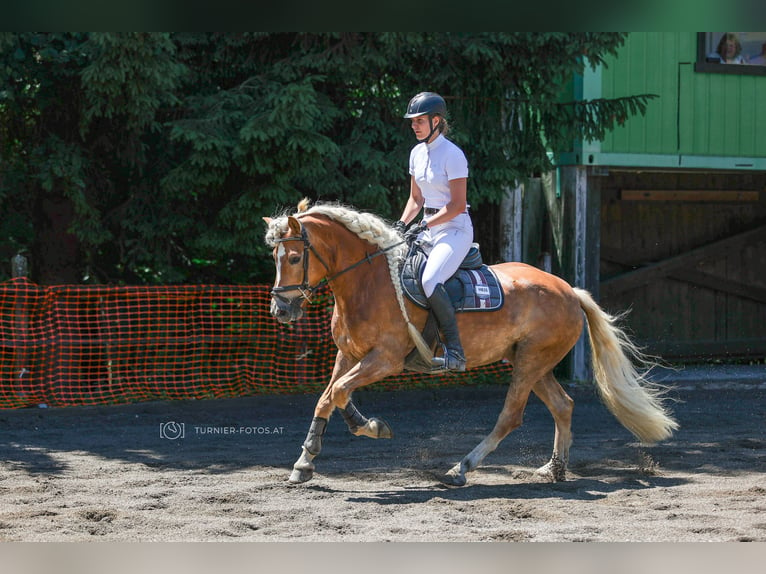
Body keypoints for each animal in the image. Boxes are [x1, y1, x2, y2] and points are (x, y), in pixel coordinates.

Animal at [264, 200, 680, 488]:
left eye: (295, 257)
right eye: (275, 257)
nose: (280, 310)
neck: (368, 281)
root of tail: (568, 290)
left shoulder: (385, 359)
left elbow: (338, 393)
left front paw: (367, 429)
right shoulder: (348, 354)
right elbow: (329, 396)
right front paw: (306, 462)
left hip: (532, 361)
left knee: (511, 416)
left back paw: (461, 469)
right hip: (531, 361)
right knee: (563, 405)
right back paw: (555, 468)